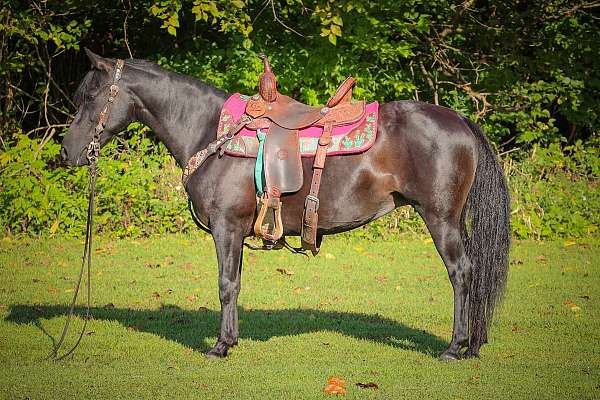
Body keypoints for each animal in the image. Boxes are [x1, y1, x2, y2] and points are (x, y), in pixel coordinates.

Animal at [62, 49, 510, 360]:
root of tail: (460, 120)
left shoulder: (226, 227)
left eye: (90, 95)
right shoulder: (237, 231)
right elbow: (235, 283)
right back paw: (471, 344)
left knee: (461, 273)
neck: (209, 131)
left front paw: (220, 346)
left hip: (441, 219)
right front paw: (231, 339)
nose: (67, 152)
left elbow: (225, 285)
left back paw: (455, 346)